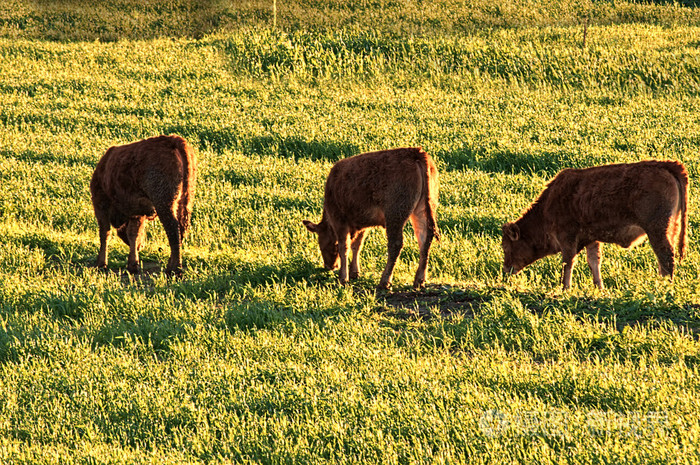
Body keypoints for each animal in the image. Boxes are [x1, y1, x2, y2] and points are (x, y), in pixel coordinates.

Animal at [89, 134, 197, 274]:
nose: (142, 245)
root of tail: (173, 140)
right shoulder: (137, 213)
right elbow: (133, 233)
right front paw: (133, 265)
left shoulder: (100, 204)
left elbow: (105, 233)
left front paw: (101, 264)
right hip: (185, 200)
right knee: (181, 229)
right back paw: (171, 266)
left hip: (164, 202)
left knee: (173, 229)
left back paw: (174, 269)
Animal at [304, 147, 440, 288]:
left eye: (321, 243)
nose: (330, 266)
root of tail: (417, 153)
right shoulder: (362, 224)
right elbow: (357, 245)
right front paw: (354, 272)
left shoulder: (339, 220)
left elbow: (344, 246)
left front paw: (343, 277)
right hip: (422, 209)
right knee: (424, 239)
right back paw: (419, 280)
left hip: (395, 214)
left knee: (396, 244)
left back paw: (385, 281)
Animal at [504, 161, 688, 288]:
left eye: (506, 247)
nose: (506, 269)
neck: (549, 204)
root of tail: (666, 165)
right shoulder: (592, 239)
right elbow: (594, 262)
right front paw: (599, 287)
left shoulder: (567, 238)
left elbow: (568, 263)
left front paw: (565, 288)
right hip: (671, 227)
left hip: (657, 230)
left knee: (665, 256)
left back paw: (664, 286)